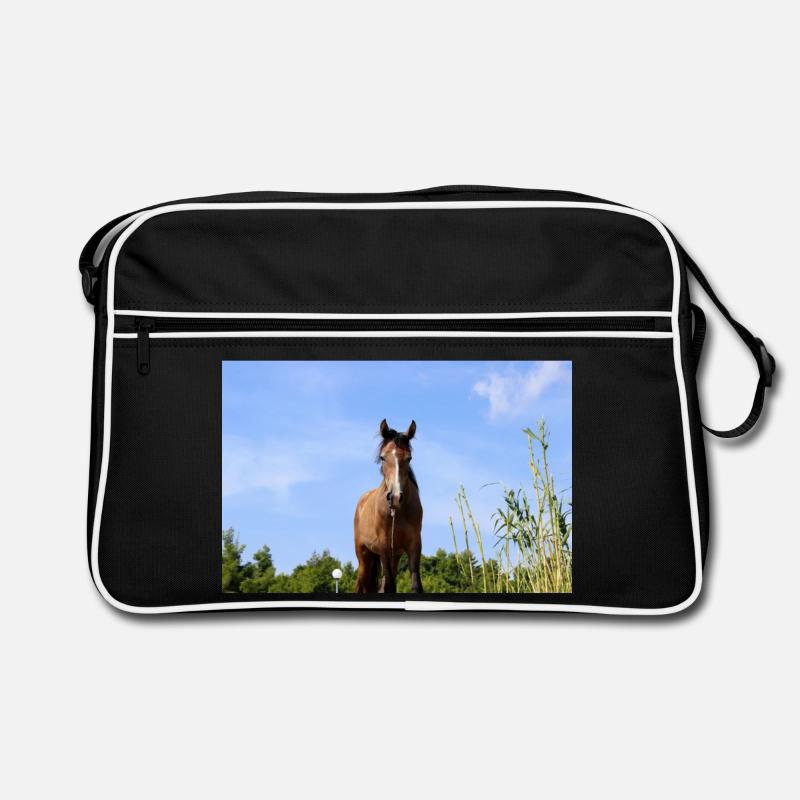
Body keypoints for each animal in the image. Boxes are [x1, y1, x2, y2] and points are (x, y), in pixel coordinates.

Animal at [354, 419, 424, 593]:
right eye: (382, 457)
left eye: (409, 458)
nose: (395, 497)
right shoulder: (384, 545)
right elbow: (389, 586)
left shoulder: (414, 544)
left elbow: (415, 585)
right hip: (364, 557)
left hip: (394, 555)